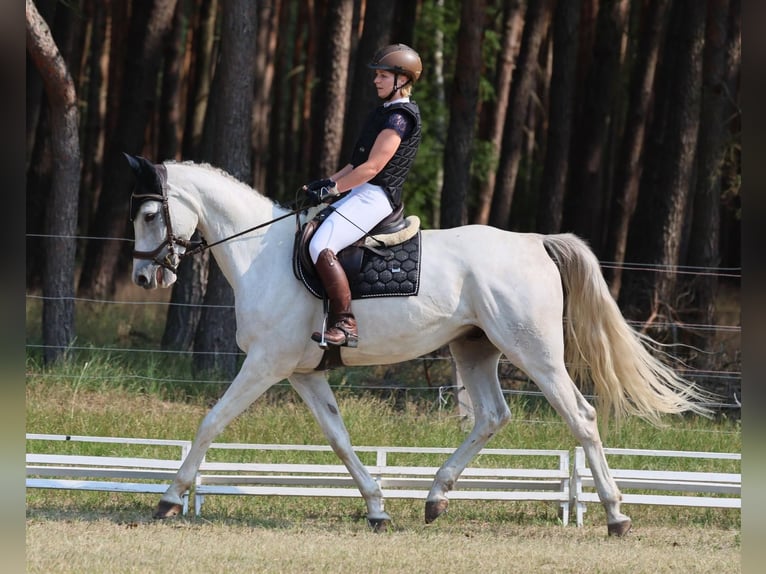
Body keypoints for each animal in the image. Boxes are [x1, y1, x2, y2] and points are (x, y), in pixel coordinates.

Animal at [125, 154, 710, 536]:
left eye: (151, 214)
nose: (144, 278)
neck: (260, 253)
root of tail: (535, 242)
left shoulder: (266, 364)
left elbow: (210, 421)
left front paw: (169, 499)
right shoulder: (304, 372)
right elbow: (339, 439)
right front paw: (377, 508)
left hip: (535, 352)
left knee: (581, 417)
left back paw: (616, 515)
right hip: (474, 348)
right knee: (492, 415)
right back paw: (435, 498)